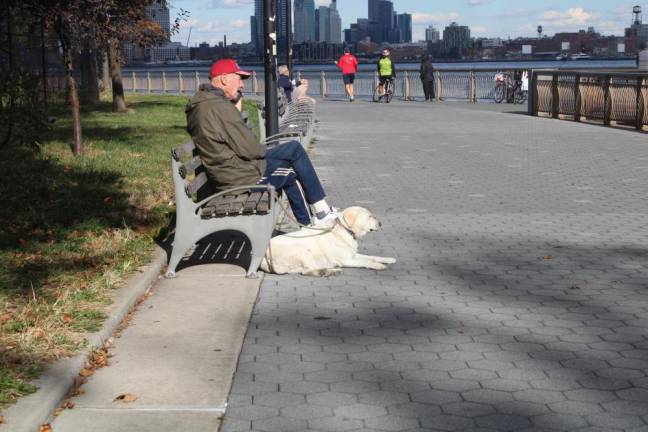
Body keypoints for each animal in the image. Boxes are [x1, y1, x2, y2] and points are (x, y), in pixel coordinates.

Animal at [260, 207, 394, 276]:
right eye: (369, 216)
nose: (381, 223)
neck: (344, 230)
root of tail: (264, 256)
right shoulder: (348, 260)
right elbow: (365, 261)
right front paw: (378, 265)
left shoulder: (352, 255)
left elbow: (371, 257)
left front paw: (388, 259)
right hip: (302, 250)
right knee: (307, 270)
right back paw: (331, 270)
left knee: (305, 270)